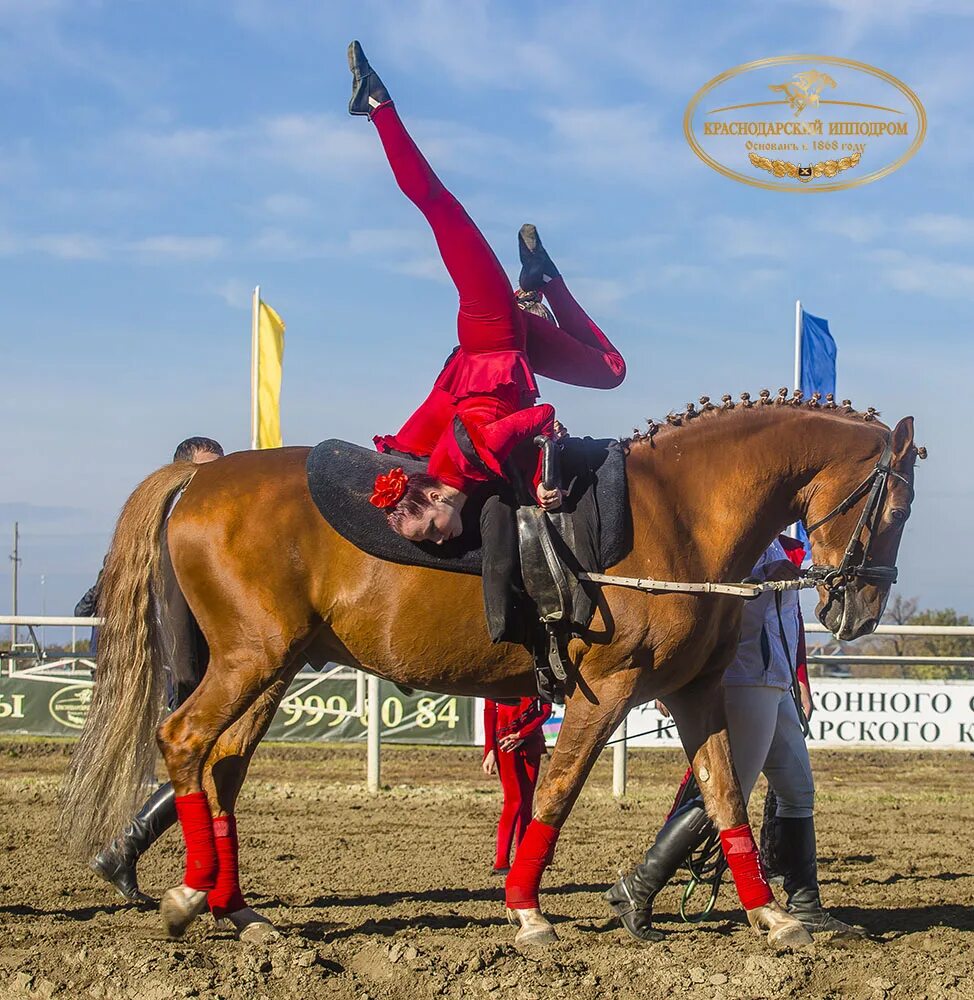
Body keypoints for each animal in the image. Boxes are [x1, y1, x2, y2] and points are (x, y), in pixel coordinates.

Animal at [59, 394, 924, 948]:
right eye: (896, 505)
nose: (861, 612)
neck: (678, 513)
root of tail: (201, 478)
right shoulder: (607, 689)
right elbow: (556, 795)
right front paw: (528, 913)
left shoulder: (696, 692)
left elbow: (724, 799)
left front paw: (771, 917)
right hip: (249, 660)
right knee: (184, 741)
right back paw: (185, 895)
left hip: (273, 669)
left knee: (223, 767)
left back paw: (237, 912)